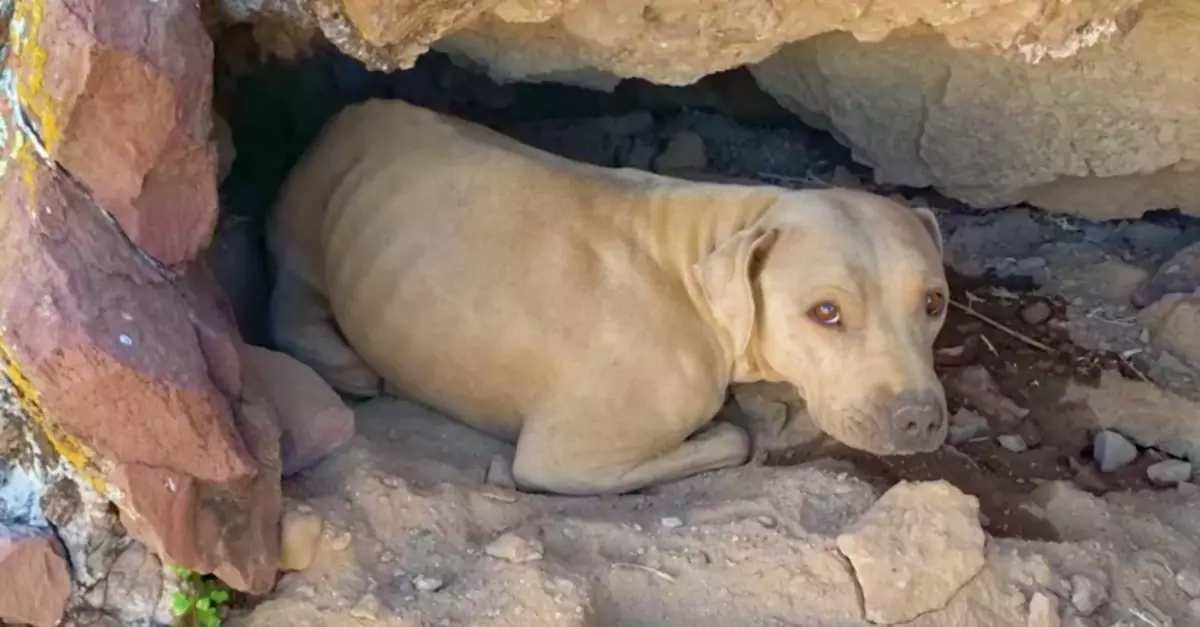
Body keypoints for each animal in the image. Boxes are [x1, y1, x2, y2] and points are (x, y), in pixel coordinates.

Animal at [267, 99, 950, 492]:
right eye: (825, 312)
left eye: (934, 303)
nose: (917, 417)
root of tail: (355, 107)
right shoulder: (564, 457)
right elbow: (732, 441)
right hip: (306, 230)